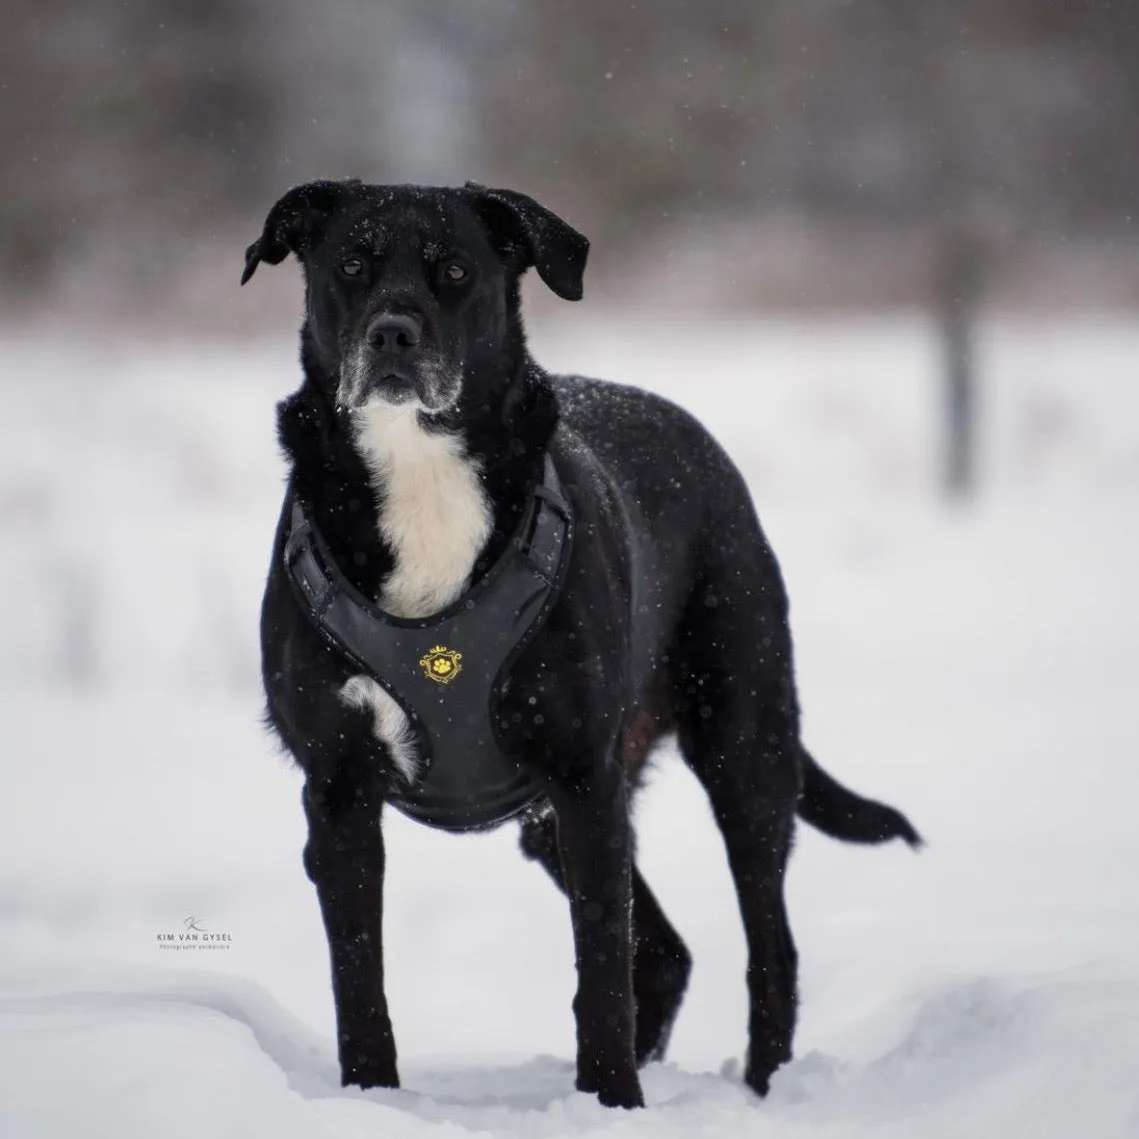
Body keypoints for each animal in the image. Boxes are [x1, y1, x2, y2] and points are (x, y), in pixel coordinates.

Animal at [244, 179, 920, 1111]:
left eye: (455, 269)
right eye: (350, 264)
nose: (392, 333)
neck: (422, 471)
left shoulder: (580, 776)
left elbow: (600, 961)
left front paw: (610, 1100)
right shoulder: (339, 785)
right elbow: (358, 974)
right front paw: (371, 1098)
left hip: (742, 746)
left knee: (765, 945)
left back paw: (764, 1089)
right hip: (555, 817)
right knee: (666, 950)